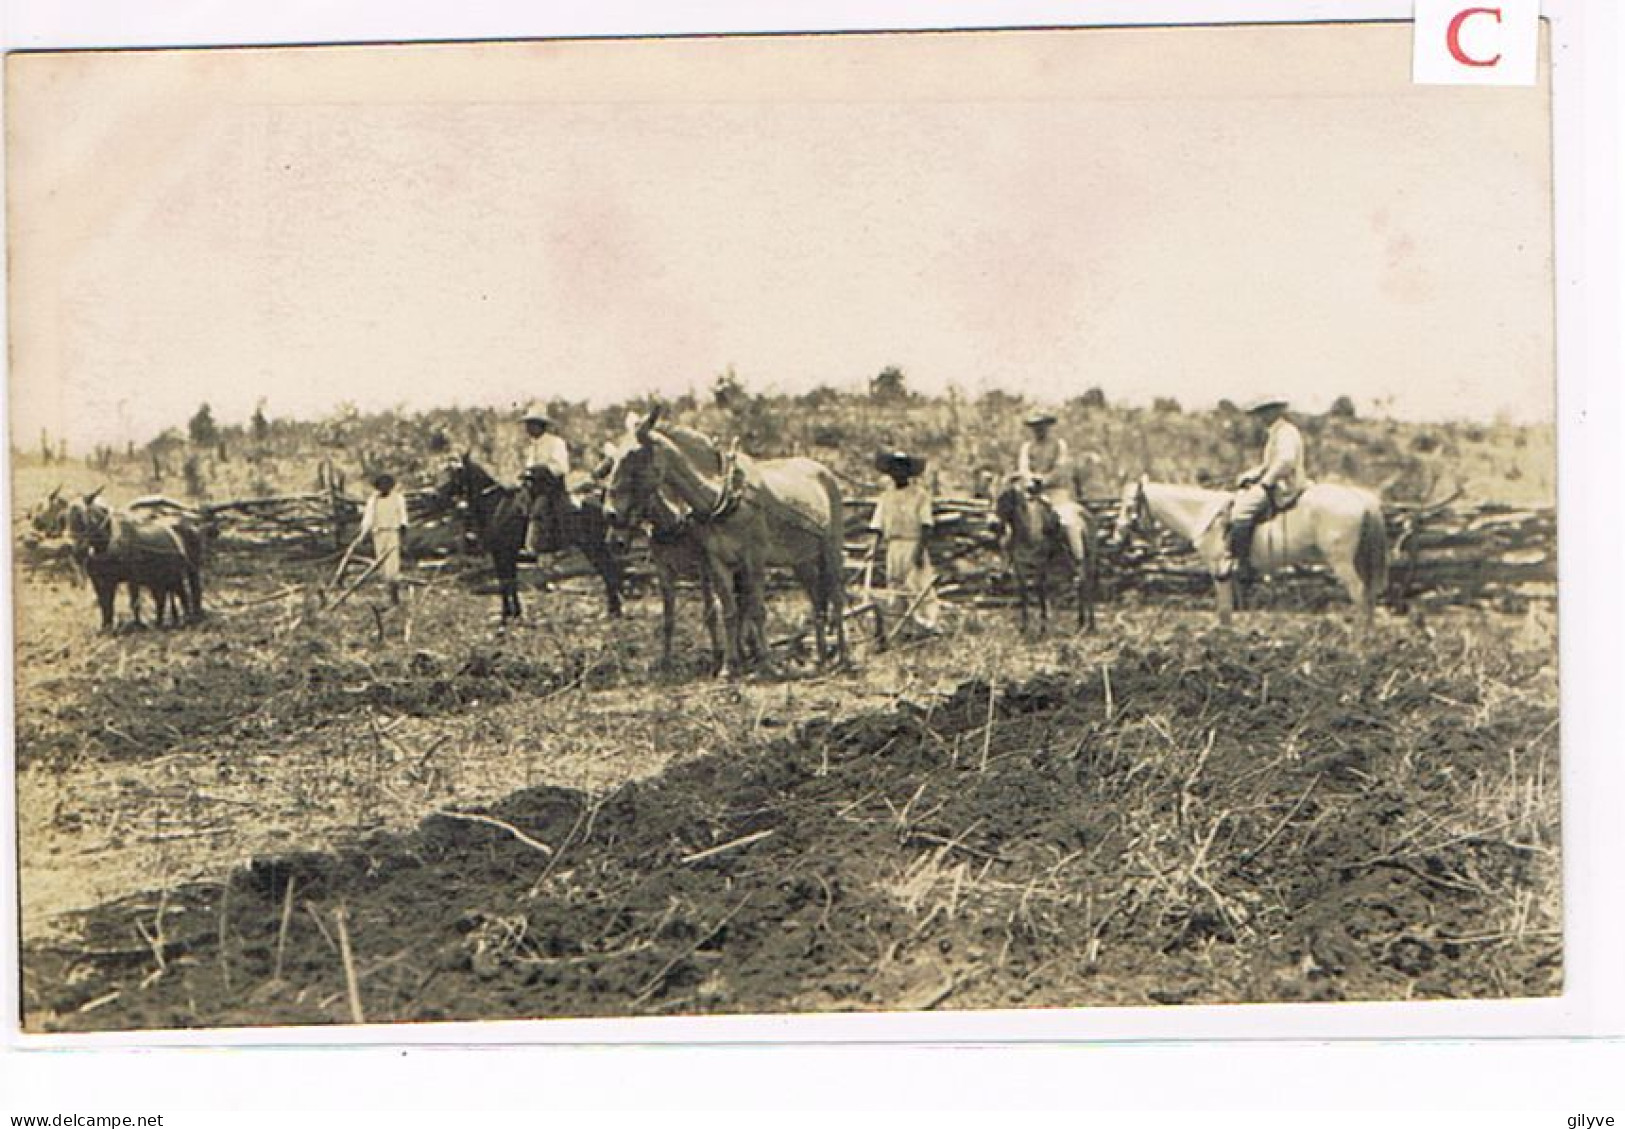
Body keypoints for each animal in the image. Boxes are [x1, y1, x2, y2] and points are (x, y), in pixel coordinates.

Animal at [435, 454, 624, 623]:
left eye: (456, 471)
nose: (436, 493)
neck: (495, 506)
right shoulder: (508, 553)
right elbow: (511, 581)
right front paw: (515, 614)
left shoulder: (501, 552)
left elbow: (505, 582)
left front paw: (506, 616)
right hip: (597, 546)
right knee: (609, 571)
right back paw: (613, 611)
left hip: (592, 546)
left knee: (608, 571)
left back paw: (613, 612)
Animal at [604, 407, 845, 679]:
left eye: (634, 454)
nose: (610, 513)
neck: (723, 497)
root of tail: (823, 470)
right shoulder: (716, 562)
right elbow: (729, 612)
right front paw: (729, 667)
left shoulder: (754, 559)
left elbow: (757, 611)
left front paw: (767, 664)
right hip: (801, 561)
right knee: (818, 603)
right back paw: (822, 659)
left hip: (831, 550)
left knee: (837, 599)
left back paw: (843, 658)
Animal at [988, 474, 1092, 636]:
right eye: (989, 495)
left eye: (1005, 495)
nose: (992, 525)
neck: (1027, 530)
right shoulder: (1019, 564)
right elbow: (1023, 593)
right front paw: (1024, 627)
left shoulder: (1041, 563)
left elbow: (1040, 590)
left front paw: (1043, 629)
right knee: (1081, 585)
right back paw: (1084, 625)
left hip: (1087, 557)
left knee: (1086, 585)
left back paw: (1087, 625)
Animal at [1111, 477, 1391, 630]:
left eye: (1129, 505)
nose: (1117, 535)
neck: (1205, 513)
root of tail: (1359, 498)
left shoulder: (1219, 569)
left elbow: (1224, 611)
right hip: (1360, 560)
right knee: (1369, 595)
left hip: (1342, 561)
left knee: (1359, 593)